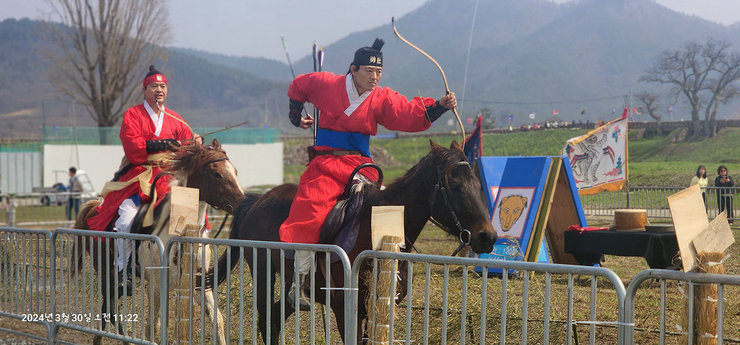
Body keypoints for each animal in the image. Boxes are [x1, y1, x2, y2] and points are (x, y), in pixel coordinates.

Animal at [73, 138, 246, 344]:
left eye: (235, 171)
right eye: (217, 173)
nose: (243, 203)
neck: (180, 228)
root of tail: (94, 208)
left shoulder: (200, 282)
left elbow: (216, 319)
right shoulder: (156, 283)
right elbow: (154, 325)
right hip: (106, 270)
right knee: (110, 308)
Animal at [204, 139, 498, 342]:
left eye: (478, 185)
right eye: (456, 187)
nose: (488, 237)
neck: (379, 228)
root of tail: (254, 202)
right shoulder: (346, 309)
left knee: (275, 317)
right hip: (263, 271)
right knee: (266, 318)